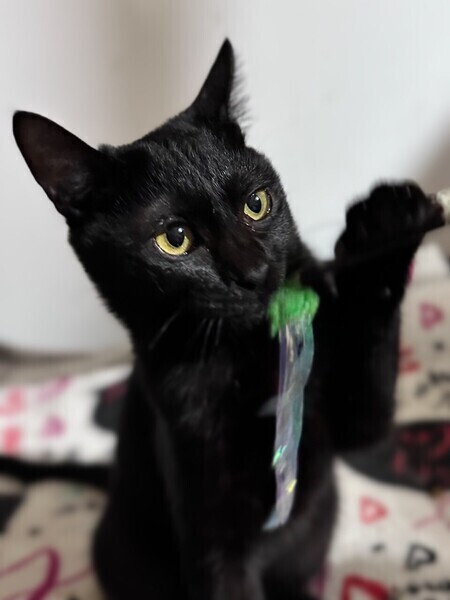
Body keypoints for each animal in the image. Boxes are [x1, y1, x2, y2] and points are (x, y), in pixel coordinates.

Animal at [13, 39, 445, 600]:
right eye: (174, 239)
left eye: (256, 204)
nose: (255, 272)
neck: (248, 355)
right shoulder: (211, 528)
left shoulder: (350, 421)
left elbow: (369, 387)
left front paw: (386, 230)